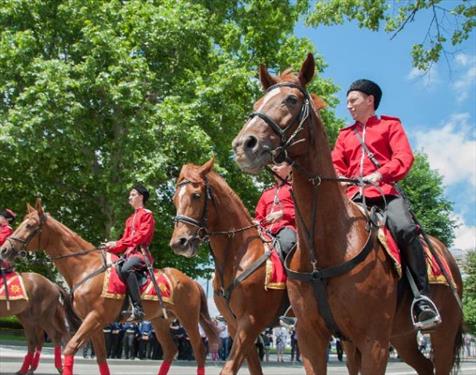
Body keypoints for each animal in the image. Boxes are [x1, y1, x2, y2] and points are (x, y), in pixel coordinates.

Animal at [0, 201, 218, 375]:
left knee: (199, 350)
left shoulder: (95, 317)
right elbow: (101, 357)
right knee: (171, 351)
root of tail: (192, 282)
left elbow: (70, 347)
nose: (5, 250)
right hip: (160, 321)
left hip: (188, 319)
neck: (86, 268)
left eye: (29, 225)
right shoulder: (95, 322)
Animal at [169, 160, 288, 375]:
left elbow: (228, 369)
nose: (179, 243)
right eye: (174, 198)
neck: (238, 255)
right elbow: (252, 367)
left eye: (196, 195)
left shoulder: (250, 322)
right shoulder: (236, 325)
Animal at [232, 53, 462, 375]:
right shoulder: (311, 339)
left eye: (291, 99)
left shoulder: (374, 342)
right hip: (401, 337)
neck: (326, 247)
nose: (244, 145)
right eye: (256, 103)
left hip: (441, 335)